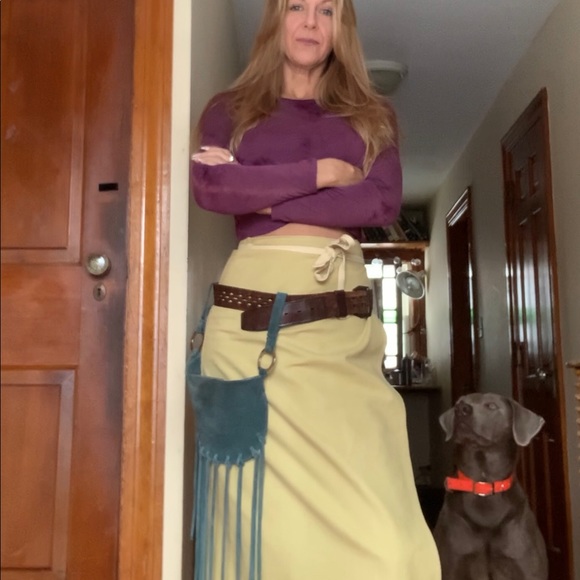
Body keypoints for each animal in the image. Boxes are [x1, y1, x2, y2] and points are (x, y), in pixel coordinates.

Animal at [433, 393, 548, 580]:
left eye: (492, 406)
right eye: (459, 403)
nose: (461, 409)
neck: (483, 483)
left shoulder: (527, 567)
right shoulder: (452, 564)